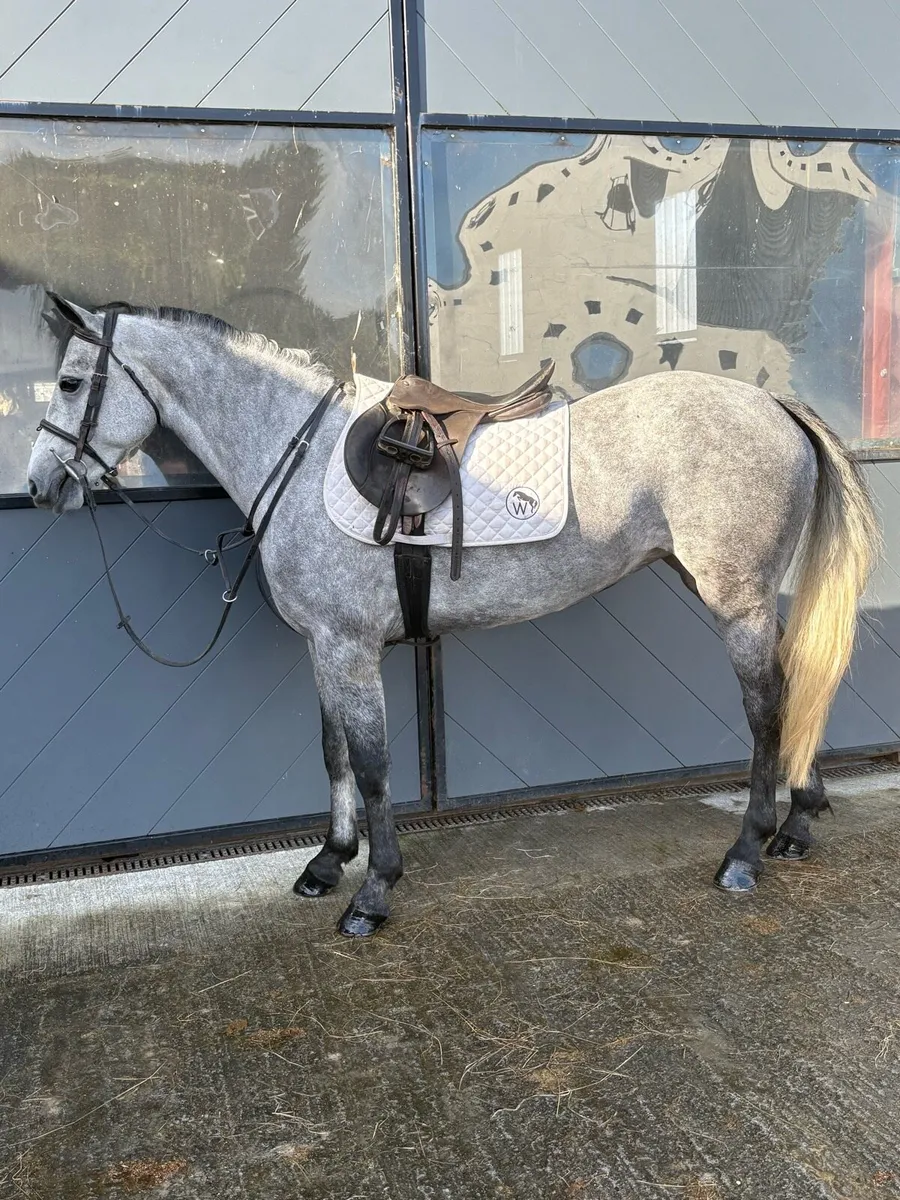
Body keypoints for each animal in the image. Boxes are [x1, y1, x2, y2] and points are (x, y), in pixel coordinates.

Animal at [26, 296, 880, 937]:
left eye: (67, 382)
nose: (38, 487)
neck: (298, 457)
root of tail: (773, 403)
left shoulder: (350, 648)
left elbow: (372, 765)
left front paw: (373, 892)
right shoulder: (326, 648)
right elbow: (333, 752)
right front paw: (328, 862)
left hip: (737, 603)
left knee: (768, 709)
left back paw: (747, 851)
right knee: (795, 688)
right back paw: (799, 825)